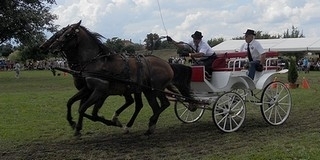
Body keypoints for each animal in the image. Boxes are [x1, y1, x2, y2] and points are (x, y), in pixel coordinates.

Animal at [45, 21, 192, 136]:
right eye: (60, 33)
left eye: (67, 34)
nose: (51, 47)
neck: (95, 62)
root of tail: (167, 64)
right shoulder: (88, 90)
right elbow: (72, 103)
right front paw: (74, 124)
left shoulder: (99, 91)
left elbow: (85, 110)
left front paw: (111, 122)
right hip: (146, 90)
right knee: (152, 106)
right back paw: (146, 126)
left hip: (154, 89)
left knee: (161, 104)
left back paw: (144, 124)